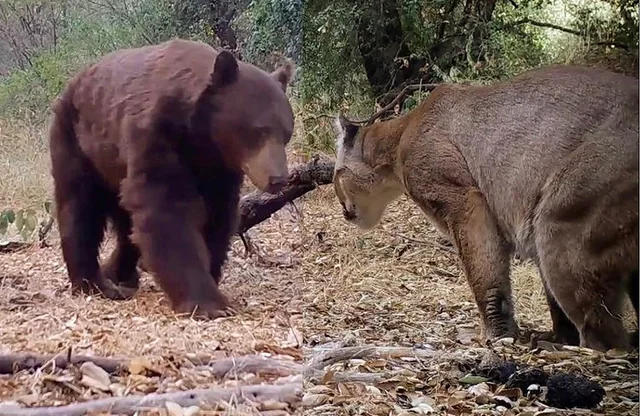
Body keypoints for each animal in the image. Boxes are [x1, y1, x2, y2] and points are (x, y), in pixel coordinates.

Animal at [48, 39, 296, 318]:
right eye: (258, 131)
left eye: (286, 132)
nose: (278, 179)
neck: (200, 134)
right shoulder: (158, 137)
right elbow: (168, 211)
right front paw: (207, 302)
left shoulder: (219, 168)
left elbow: (217, 216)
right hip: (79, 144)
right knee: (80, 208)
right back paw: (94, 283)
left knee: (125, 222)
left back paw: (120, 274)